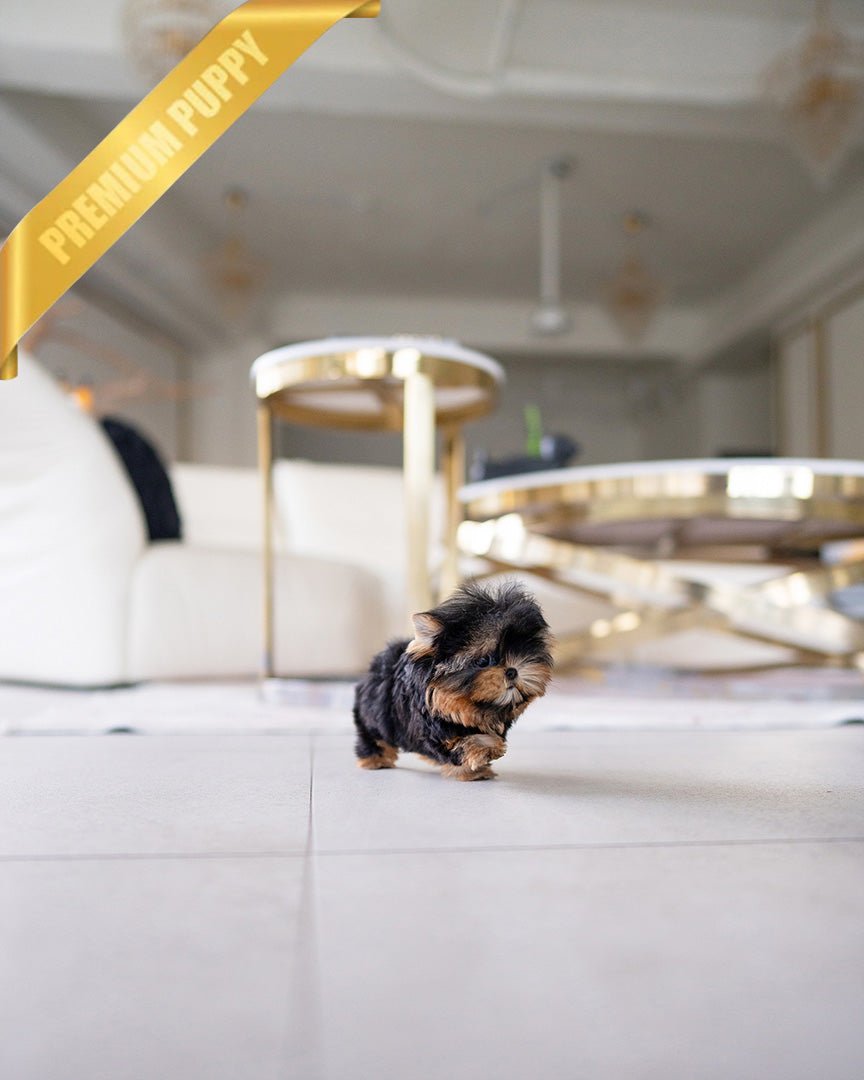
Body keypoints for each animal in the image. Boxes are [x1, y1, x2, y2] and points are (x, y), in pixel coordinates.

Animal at [353, 581, 553, 780]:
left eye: (523, 651)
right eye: (483, 661)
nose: (512, 671)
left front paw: (477, 770)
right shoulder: (434, 733)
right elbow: (460, 743)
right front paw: (487, 748)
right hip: (374, 713)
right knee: (371, 734)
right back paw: (375, 760)